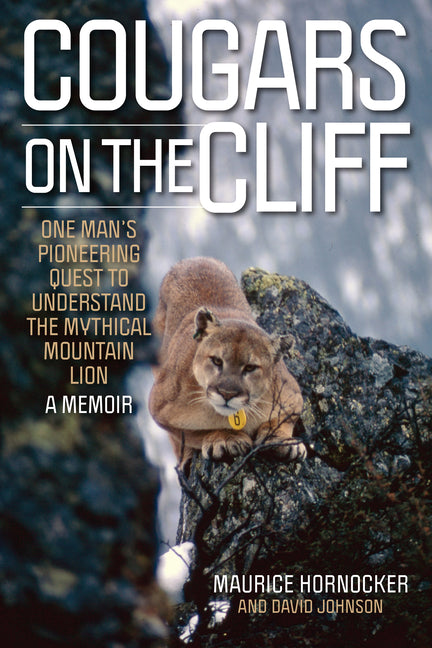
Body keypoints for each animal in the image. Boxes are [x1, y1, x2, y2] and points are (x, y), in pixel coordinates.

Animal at [149, 257, 305, 465]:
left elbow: (283, 420)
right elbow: (191, 433)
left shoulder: (293, 396)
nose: (227, 393)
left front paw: (284, 441)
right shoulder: (159, 407)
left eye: (250, 367)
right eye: (217, 361)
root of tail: (195, 259)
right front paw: (225, 439)